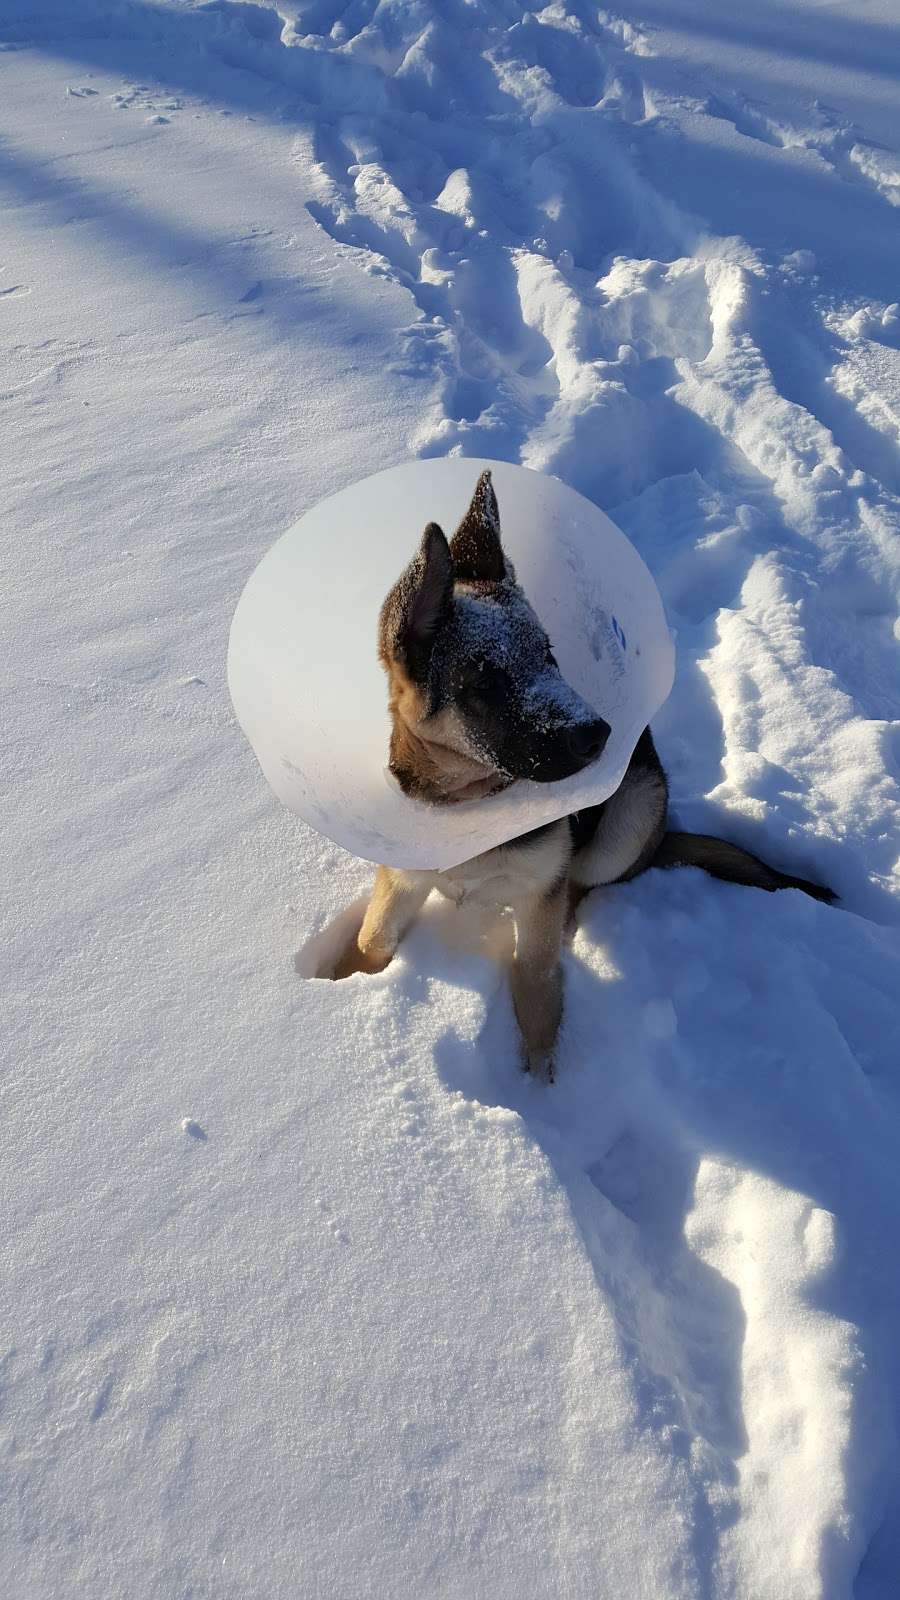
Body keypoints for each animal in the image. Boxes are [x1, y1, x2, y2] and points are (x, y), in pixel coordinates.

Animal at [333, 467, 832, 1081]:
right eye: (485, 684)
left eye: (549, 655)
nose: (602, 734)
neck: (472, 807)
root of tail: (662, 837)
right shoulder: (402, 877)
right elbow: (373, 936)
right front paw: (346, 986)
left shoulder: (538, 899)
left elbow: (536, 976)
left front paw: (541, 1079)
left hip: (632, 812)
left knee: (582, 885)